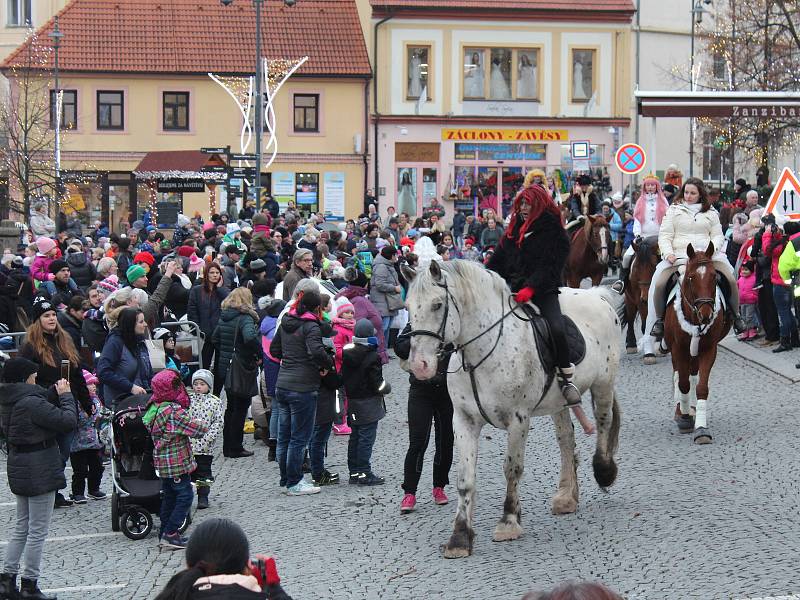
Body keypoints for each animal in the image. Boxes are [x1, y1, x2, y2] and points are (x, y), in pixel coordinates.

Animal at [404, 260, 620, 560]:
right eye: (408, 306)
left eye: (437, 305)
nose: (420, 366)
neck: (481, 353)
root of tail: (597, 294)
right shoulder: (463, 420)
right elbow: (465, 478)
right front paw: (460, 537)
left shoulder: (519, 420)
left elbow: (512, 468)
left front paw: (508, 522)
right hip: (558, 402)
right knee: (566, 440)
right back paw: (567, 496)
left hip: (604, 383)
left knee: (603, 422)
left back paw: (604, 471)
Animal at [664, 243, 732, 446]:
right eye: (691, 277)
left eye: (714, 276)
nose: (706, 315)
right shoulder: (678, 349)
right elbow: (683, 383)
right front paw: (685, 419)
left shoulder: (709, 349)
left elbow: (701, 387)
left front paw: (701, 429)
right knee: (679, 376)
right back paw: (681, 410)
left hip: (694, 352)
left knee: (692, 375)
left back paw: (692, 408)